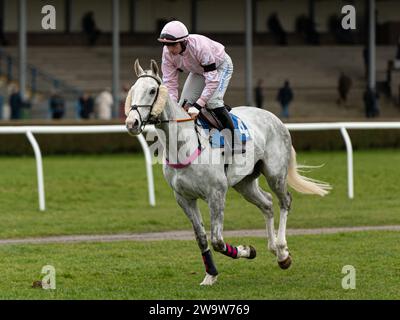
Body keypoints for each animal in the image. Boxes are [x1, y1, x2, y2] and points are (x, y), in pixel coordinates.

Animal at [126, 59, 332, 284]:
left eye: (152, 90)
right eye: (133, 89)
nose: (132, 122)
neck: (184, 144)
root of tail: (275, 118)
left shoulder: (216, 193)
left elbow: (217, 240)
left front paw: (247, 250)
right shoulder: (183, 198)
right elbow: (201, 238)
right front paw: (210, 274)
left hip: (275, 174)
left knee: (285, 201)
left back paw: (283, 251)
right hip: (245, 183)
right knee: (267, 204)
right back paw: (275, 249)